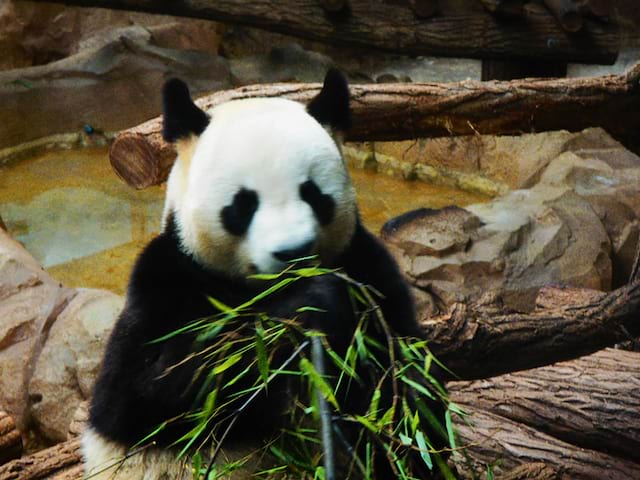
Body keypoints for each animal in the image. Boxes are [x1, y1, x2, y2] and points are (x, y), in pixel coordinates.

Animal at [84, 69, 444, 478]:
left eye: (313, 193)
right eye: (243, 204)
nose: (293, 251)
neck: (264, 291)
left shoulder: (365, 268)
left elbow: (403, 377)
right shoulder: (168, 279)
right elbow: (156, 385)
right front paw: (310, 304)